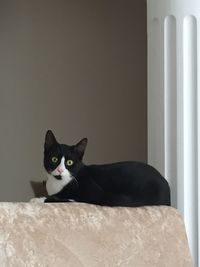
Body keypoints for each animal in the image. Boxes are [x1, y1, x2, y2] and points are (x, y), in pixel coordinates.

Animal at [40, 131, 170, 207]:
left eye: (69, 162)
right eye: (54, 159)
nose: (60, 170)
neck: (57, 183)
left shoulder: (95, 193)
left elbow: (70, 199)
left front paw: (41, 199)